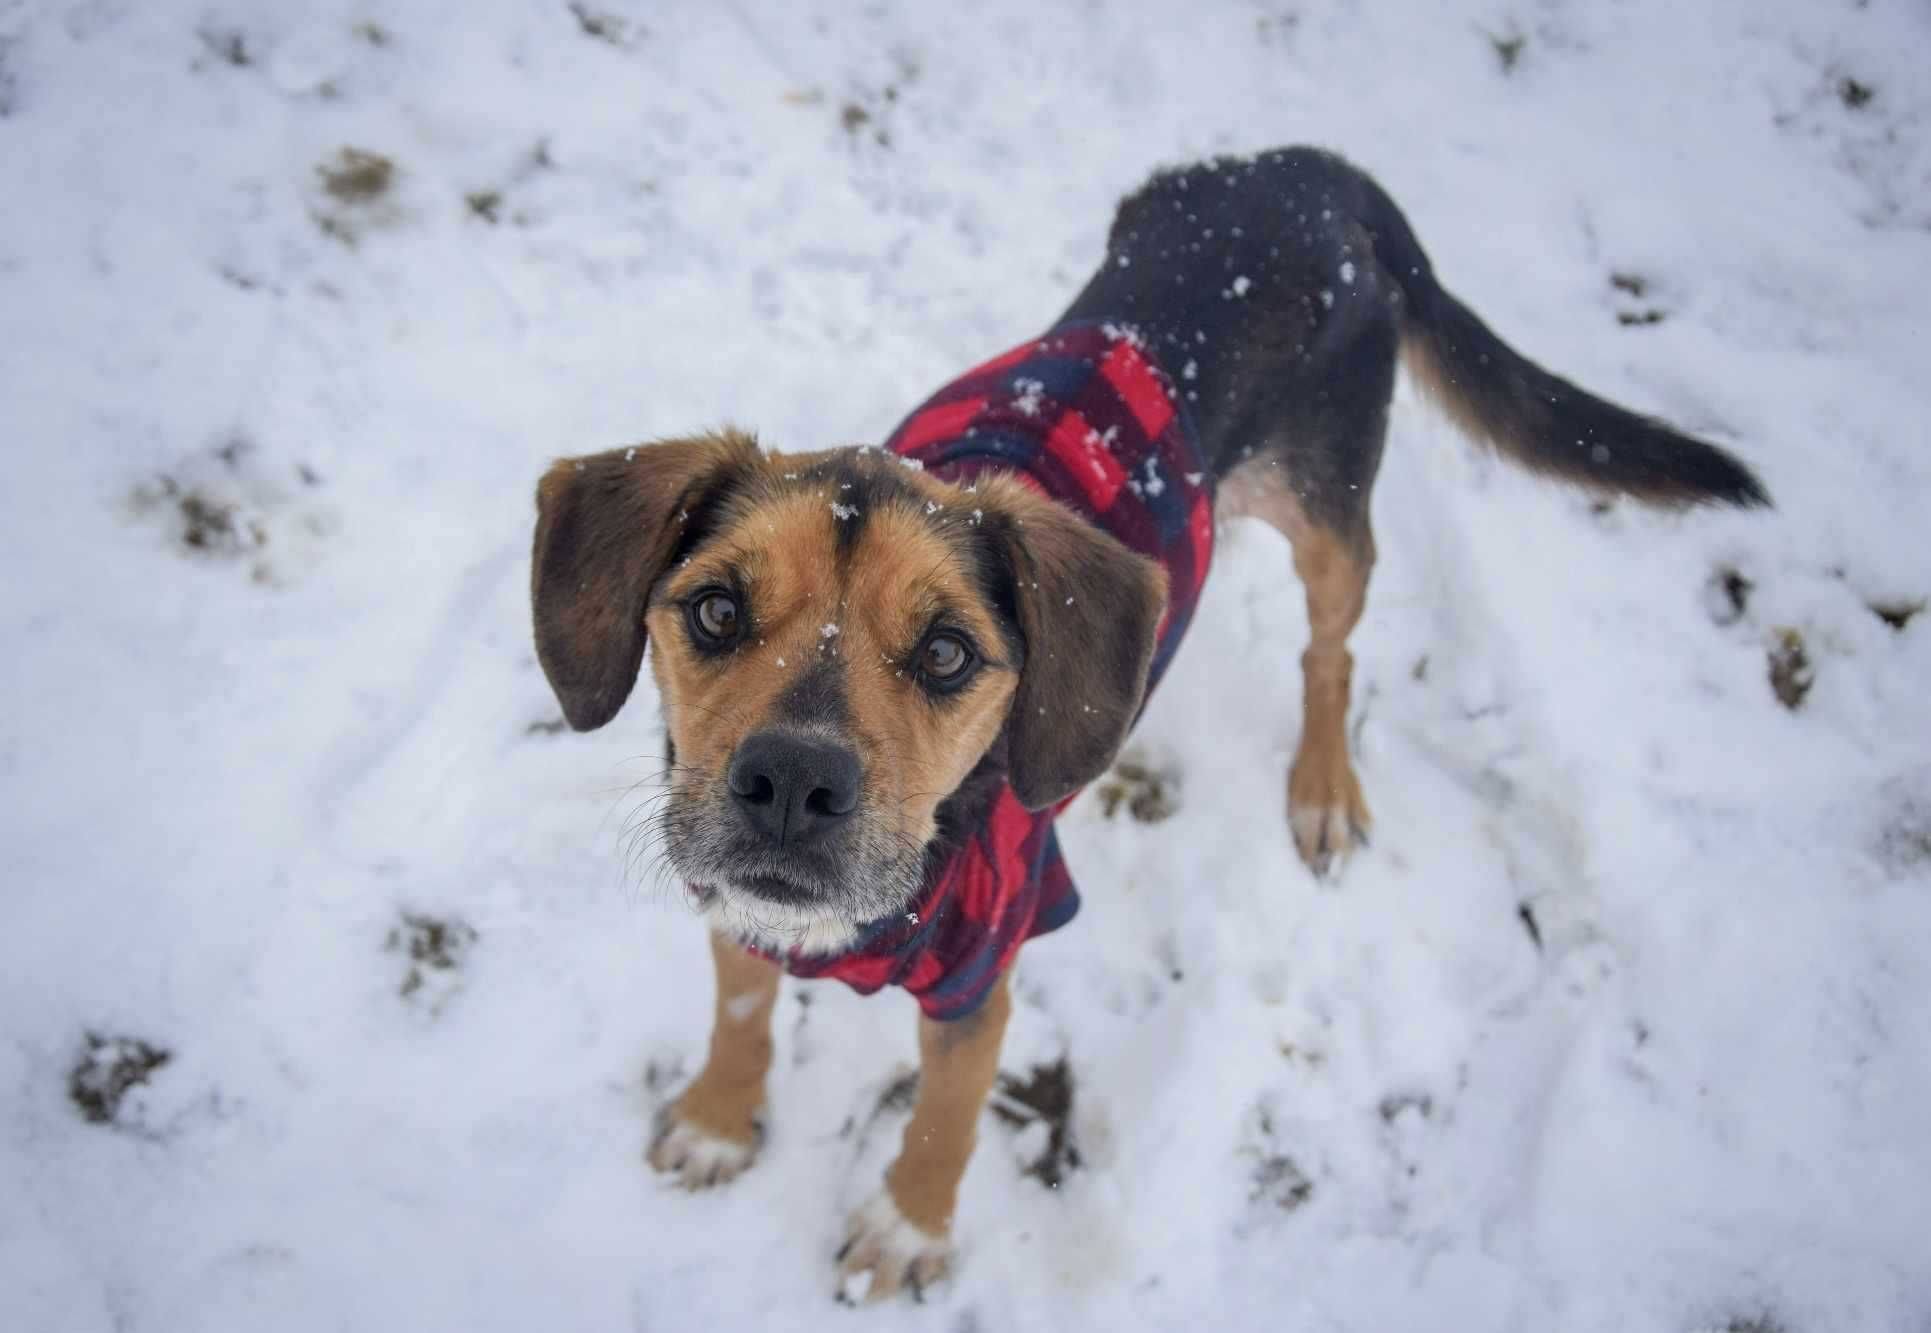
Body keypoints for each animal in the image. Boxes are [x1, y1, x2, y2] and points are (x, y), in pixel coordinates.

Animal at [529, 144, 1768, 1298]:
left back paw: (1322, 788)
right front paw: (717, 1114)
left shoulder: (985, 967)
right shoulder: (728, 891)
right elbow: (739, 1007)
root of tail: (1312, 167)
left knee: (1330, 650)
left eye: (945, 653)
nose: (790, 783)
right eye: (715, 609)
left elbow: (944, 1116)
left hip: (1326, 511)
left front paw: (908, 1228)